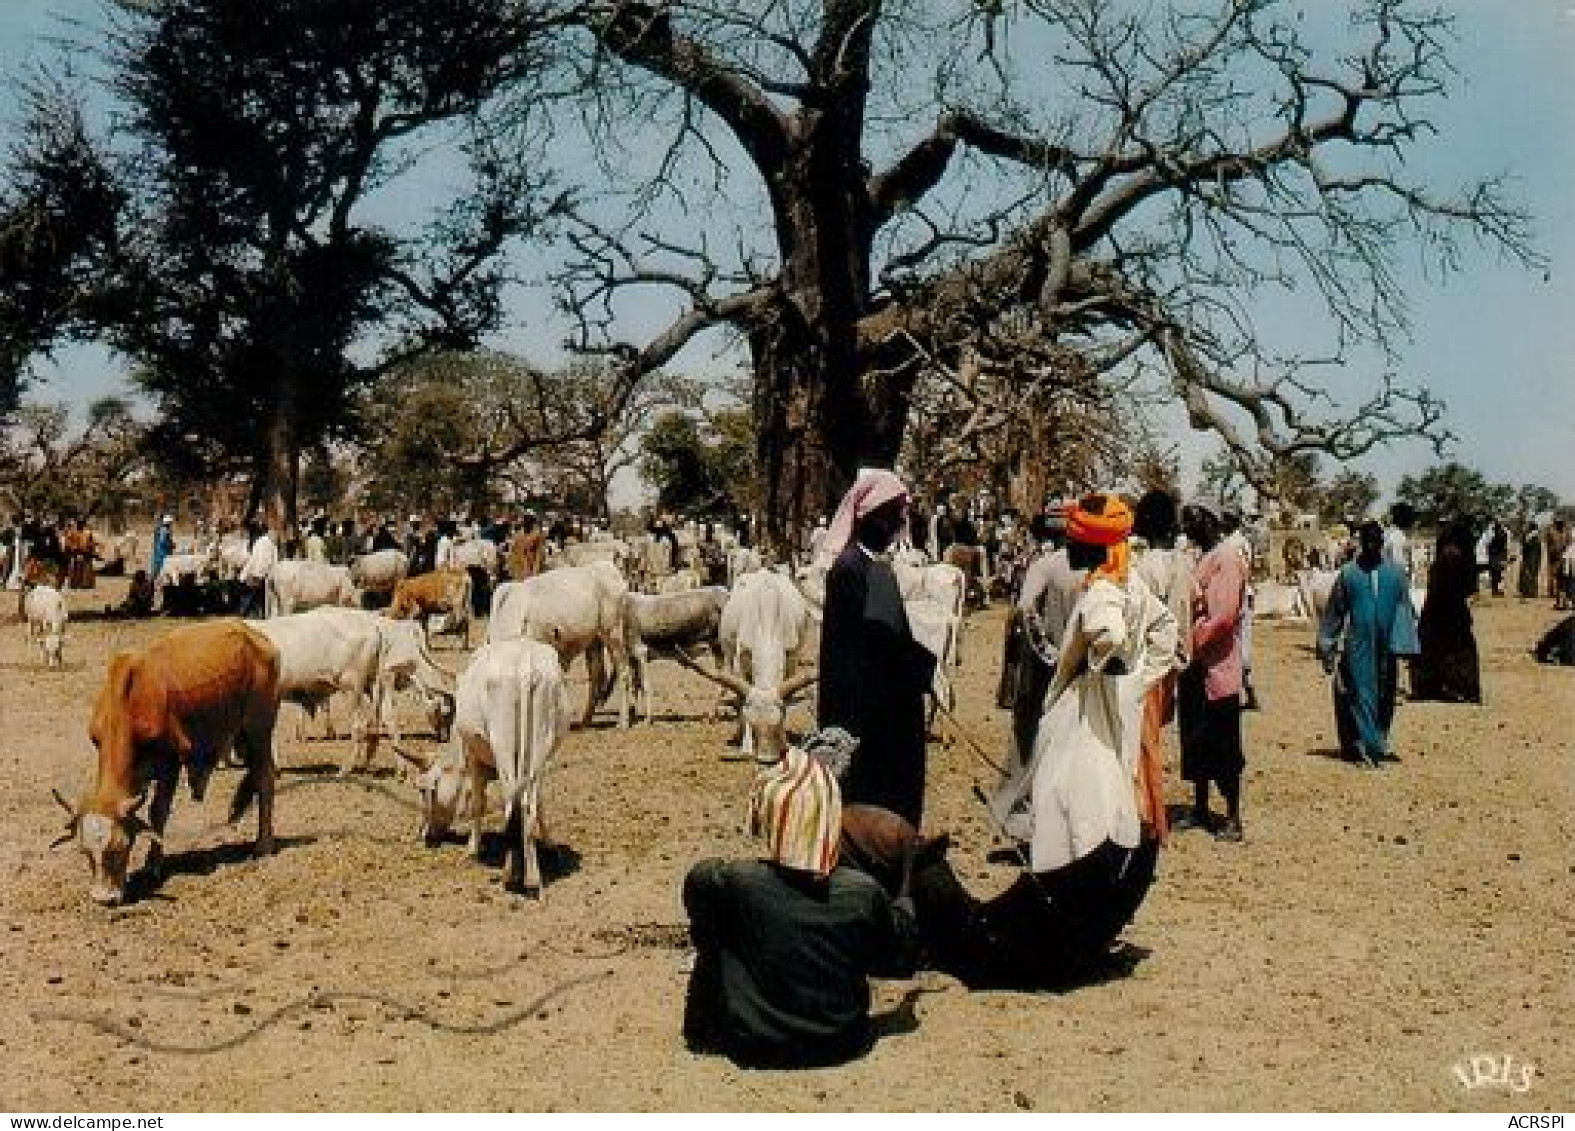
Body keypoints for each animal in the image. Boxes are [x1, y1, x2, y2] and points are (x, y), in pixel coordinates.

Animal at [52, 614, 285, 907]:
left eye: (119, 847)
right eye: (85, 851)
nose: (104, 898)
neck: (129, 704)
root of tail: (254, 635)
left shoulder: (170, 763)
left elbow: (158, 812)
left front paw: (153, 864)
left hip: (259, 729)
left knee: (265, 778)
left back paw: (263, 845)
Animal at [400, 642, 573, 901]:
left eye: (424, 789)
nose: (425, 835)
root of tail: (524, 664)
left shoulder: (473, 758)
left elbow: (477, 802)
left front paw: (472, 850)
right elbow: (540, 805)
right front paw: (551, 848)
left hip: (503, 747)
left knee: (513, 804)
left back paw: (510, 875)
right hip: (539, 747)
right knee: (527, 806)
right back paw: (533, 880)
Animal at [485, 563, 626, 730]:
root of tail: (607, 567)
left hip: (613, 635)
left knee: (623, 671)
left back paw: (623, 722)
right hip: (594, 642)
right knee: (596, 675)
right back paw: (585, 721)